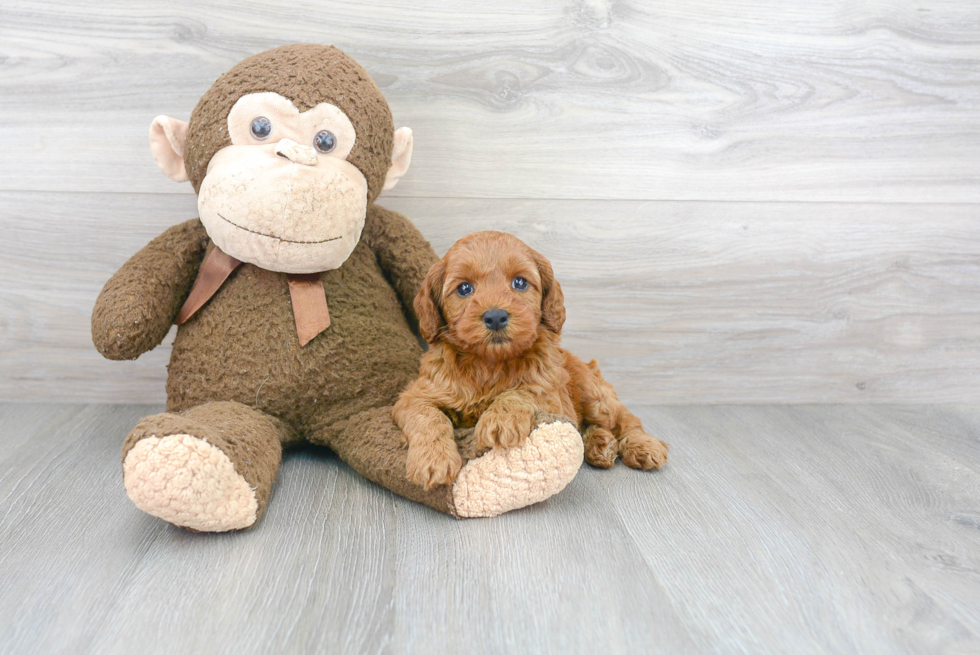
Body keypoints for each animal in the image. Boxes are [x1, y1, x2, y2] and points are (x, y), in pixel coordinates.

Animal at [394, 228, 668, 490]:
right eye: (464, 288)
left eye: (519, 282)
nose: (495, 316)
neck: (489, 363)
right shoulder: (415, 395)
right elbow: (428, 417)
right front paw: (433, 460)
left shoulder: (552, 394)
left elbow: (523, 390)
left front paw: (501, 419)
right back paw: (600, 444)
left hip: (593, 395)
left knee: (625, 419)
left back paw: (643, 446)